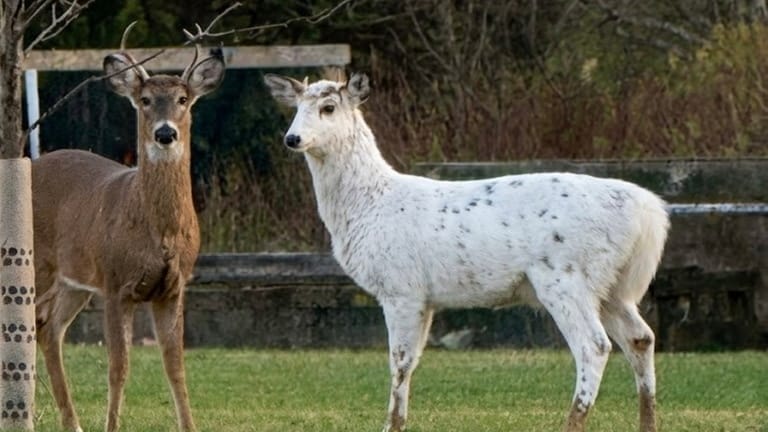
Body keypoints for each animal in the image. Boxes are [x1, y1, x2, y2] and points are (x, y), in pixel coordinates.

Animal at [32, 30, 225, 431]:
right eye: (145, 100)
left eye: (183, 99)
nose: (165, 133)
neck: (160, 234)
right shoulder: (116, 283)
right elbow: (118, 368)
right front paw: (112, 426)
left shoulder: (174, 287)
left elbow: (176, 369)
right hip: (34, 262)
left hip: (72, 280)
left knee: (48, 329)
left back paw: (72, 423)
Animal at [264, 72, 670, 432]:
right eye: (296, 107)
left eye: (329, 107)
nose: (292, 138)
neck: (368, 206)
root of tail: (648, 213)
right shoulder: (425, 298)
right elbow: (411, 361)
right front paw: (399, 423)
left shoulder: (400, 287)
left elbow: (398, 360)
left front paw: (390, 426)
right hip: (613, 286)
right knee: (641, 337)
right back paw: (648, 424)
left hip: (565, 274)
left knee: (594, 345)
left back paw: (573, 423)